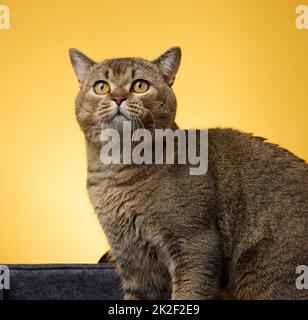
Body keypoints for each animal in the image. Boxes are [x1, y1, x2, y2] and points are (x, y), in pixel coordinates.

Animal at [70, 47, 308, 300]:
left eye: (140, 86)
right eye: (101, 87)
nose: (118, 97)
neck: (117, 174)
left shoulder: (196, 245)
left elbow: (188, 292)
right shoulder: (133, 259)